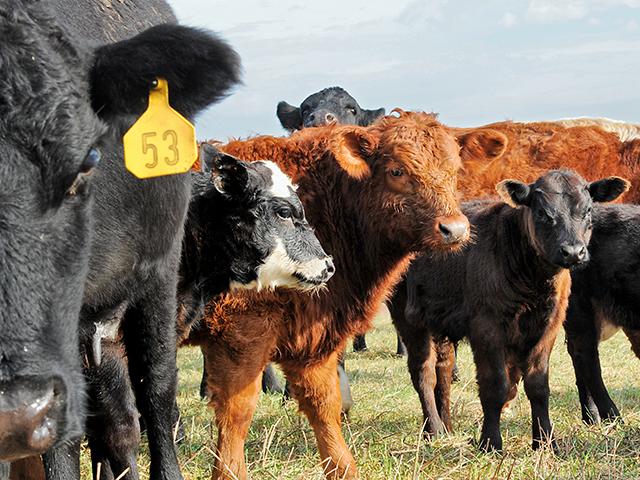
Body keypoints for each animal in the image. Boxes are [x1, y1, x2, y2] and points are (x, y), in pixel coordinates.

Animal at [176, 110, 508, 480]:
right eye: (397, 170)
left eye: (454, 170)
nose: (455, 229)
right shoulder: (242, 334)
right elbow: (237, 409)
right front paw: (229, 471)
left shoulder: (313, 338)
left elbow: (324, 405)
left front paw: (342, 467)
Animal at [397, 170, 628, 452]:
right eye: (542, 213)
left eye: (588, 210)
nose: (573, 252)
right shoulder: (487, 326)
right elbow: (495, 385)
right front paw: (490, 442)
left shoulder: (548, 326)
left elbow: (538, 385)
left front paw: (545, 441)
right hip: (408, 316)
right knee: (424, 373)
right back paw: (433, 429)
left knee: (444, 369)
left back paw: (446, 426)